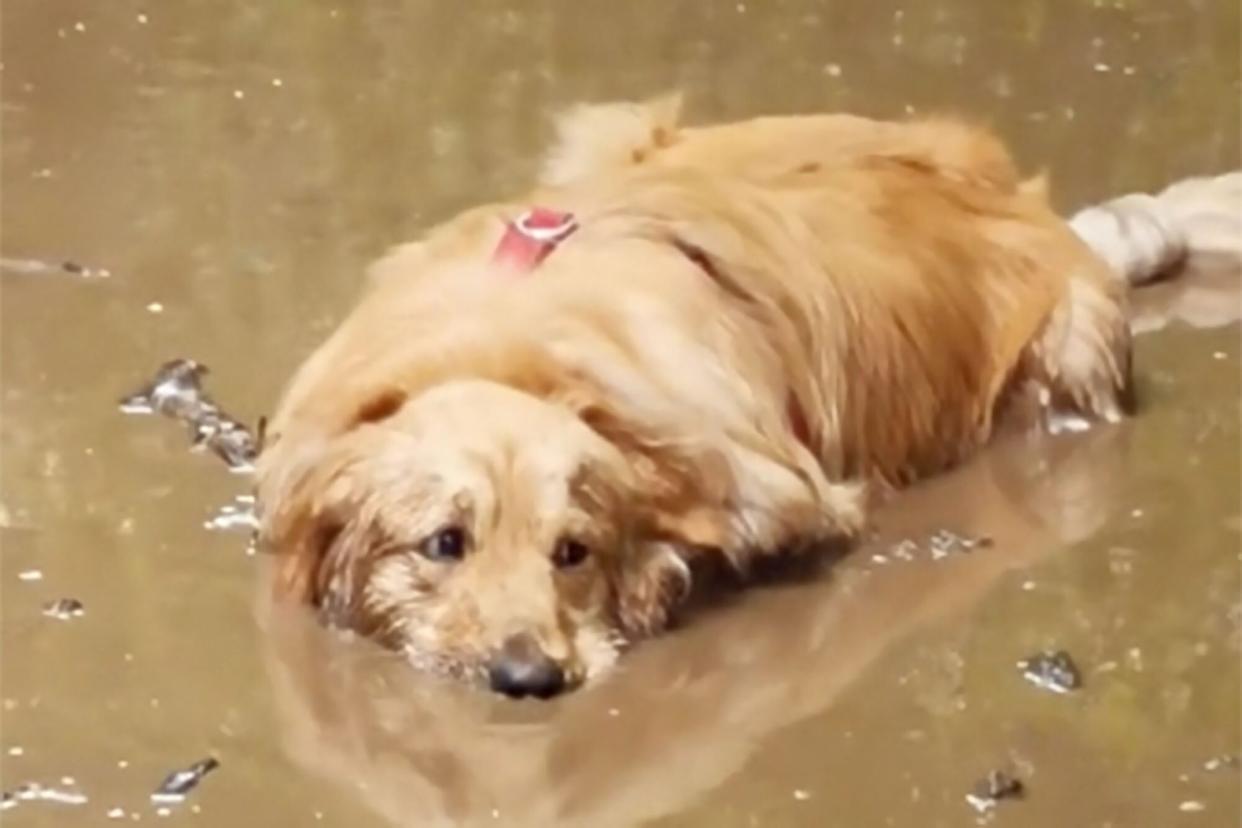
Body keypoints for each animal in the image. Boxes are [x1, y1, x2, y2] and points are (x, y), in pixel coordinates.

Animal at [257, 93, 1237, 695]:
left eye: (574, 551)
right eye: (444, 543)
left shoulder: (779, 493)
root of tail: (1009, 185)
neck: (511, 356)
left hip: (1075, 344)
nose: (531, 681)